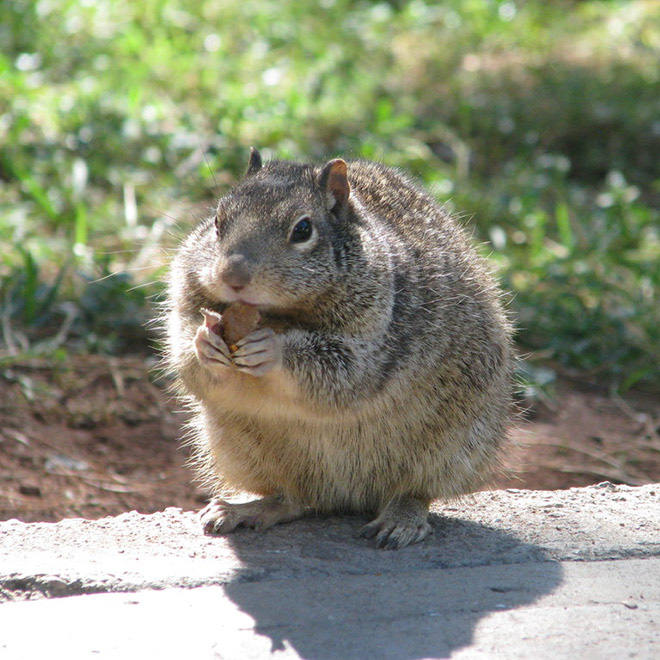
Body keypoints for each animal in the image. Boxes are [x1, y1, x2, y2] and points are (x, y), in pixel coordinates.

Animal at [165, 147, 516, 548]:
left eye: (303, 230)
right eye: (217, 221)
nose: (232, 277)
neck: (278, 314)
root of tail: (347, 495)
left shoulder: (376, 341)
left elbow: (341, 371)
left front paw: (272, 350)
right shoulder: (186, 302)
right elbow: (188, 358)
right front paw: (204, 343)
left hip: (450, 448)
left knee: (414, 490)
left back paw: (401, 520)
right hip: (242, 450)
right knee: (294, 498)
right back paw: (243, 509)